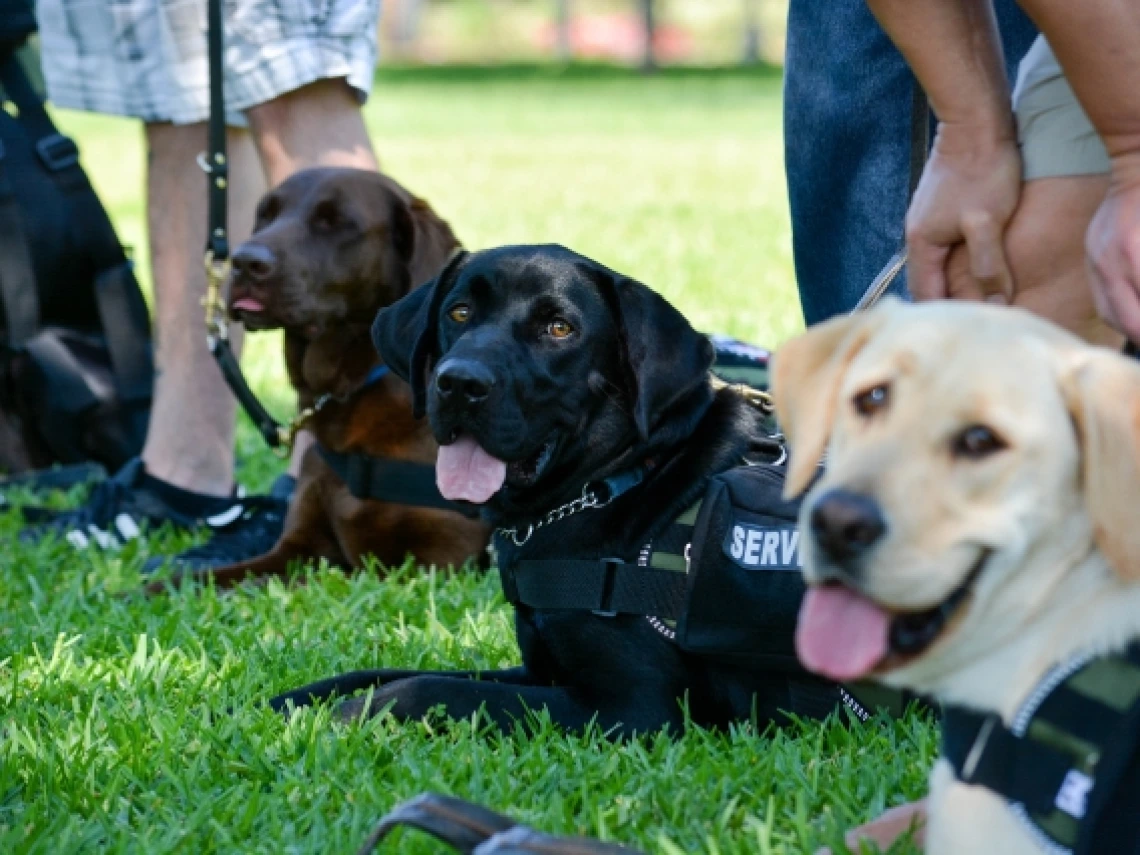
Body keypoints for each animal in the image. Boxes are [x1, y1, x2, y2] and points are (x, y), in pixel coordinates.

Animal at [271, 243, 834, 734]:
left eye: (559, 328)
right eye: (459, 313)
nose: (459, 383)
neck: (619, 479)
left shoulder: (632, 708)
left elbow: (436, 689)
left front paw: (356, 713)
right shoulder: (541, 670)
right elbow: (391, 671)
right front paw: (293, 699)